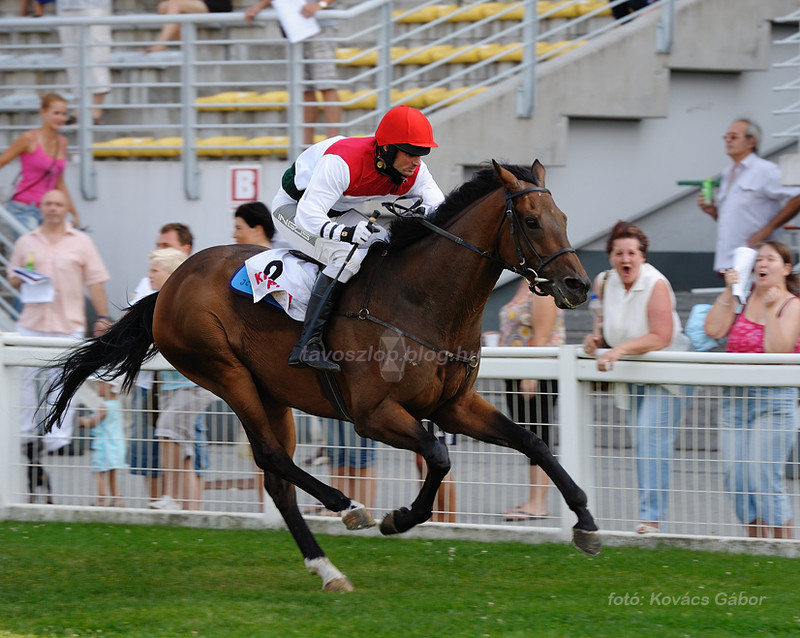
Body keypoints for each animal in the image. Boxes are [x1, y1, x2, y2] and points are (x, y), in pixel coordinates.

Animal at [40, 160, 596, 596]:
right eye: (531, 220)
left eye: (564, 219)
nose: (578, 285)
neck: (422, 302)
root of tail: (170, 282)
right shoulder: (374, 415)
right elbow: (438, 456)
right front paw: (398, 517)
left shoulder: (453, 406)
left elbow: (534, 443)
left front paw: (586, 523)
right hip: (225, 373)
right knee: (272, 457)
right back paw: (348, 506)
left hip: (272, 393)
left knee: (277, 478)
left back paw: (328, 568)